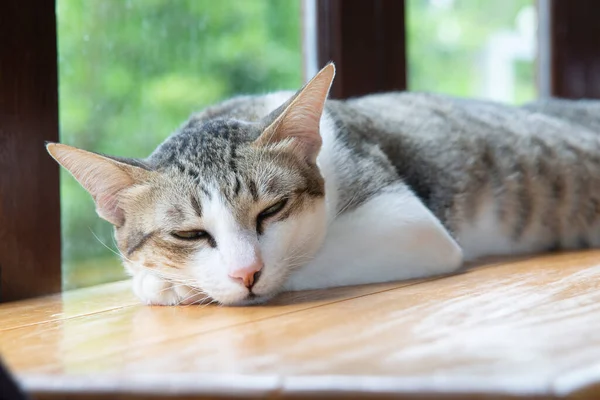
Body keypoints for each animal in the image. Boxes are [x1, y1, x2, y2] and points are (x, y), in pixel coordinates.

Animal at [48, 63, 600, 306]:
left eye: (271, 210)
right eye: (189, 234)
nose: (246, 274)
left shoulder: (409, 223)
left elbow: (305, 259)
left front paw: (169, 284)